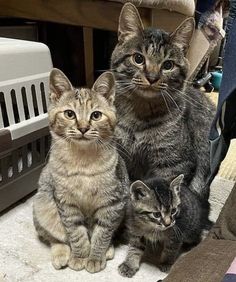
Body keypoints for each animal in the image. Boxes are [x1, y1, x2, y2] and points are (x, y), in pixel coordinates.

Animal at [32, 69, 129, 274]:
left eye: (96, 115)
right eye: (69, 114)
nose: (83, 128)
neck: (83, 161)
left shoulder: (112, 203)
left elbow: (102, 234)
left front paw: (95, 257)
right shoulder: (66, 203)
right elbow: (76, 234)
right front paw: (80, 256)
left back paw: (108, 249)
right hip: (42, 204)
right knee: (54, 238)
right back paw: (61, 254)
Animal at [110, 2, 216, 200]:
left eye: (168, 65)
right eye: (138, 58)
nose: (152, 78)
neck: (140, 114)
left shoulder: (174, 165)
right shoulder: (120, 156)